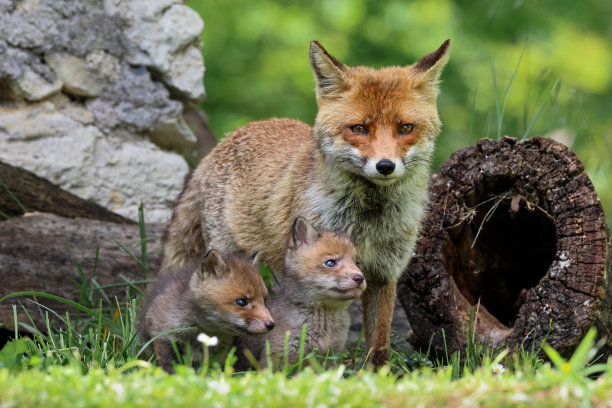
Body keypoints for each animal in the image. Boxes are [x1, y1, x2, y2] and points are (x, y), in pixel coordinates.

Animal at [163, 39, 450, 368]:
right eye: (359, 129)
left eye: (405, 128)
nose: (385, 166)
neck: (367, 219)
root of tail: (227, 138)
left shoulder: (383, 274)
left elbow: (379, 348)